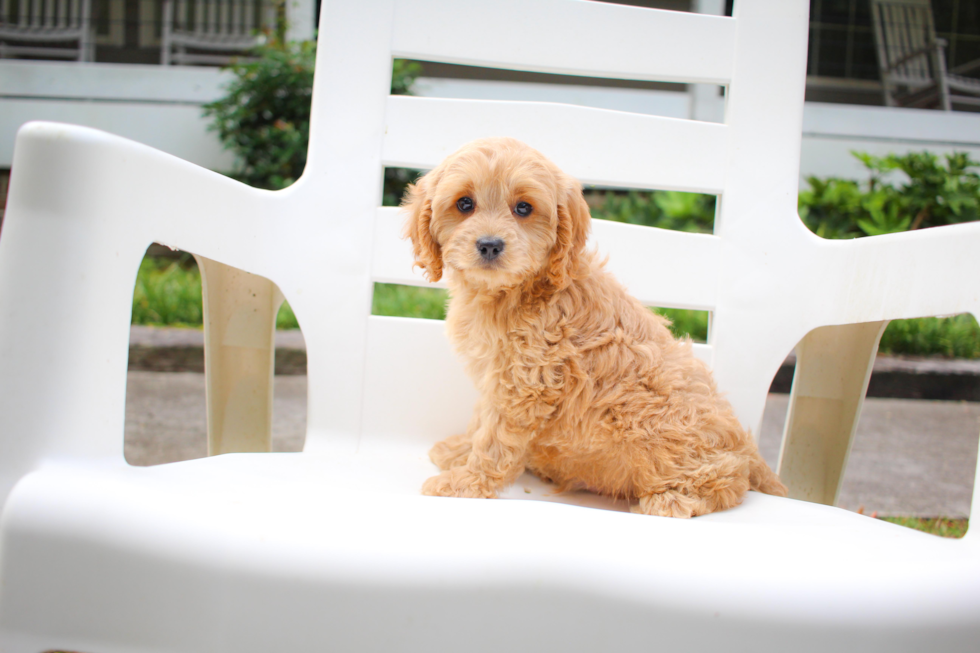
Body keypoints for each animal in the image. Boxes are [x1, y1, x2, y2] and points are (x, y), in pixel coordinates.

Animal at [400, 139, 788, 520]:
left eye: (524, 208)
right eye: (464, 204)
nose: (490, 244)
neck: (517, 292)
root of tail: (750, 450)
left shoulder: (527, 384)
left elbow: (495, 440)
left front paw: (465, 482)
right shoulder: (497, 377)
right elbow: (481, 420)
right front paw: (459, 451)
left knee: (728, 480)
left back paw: (671, 501)